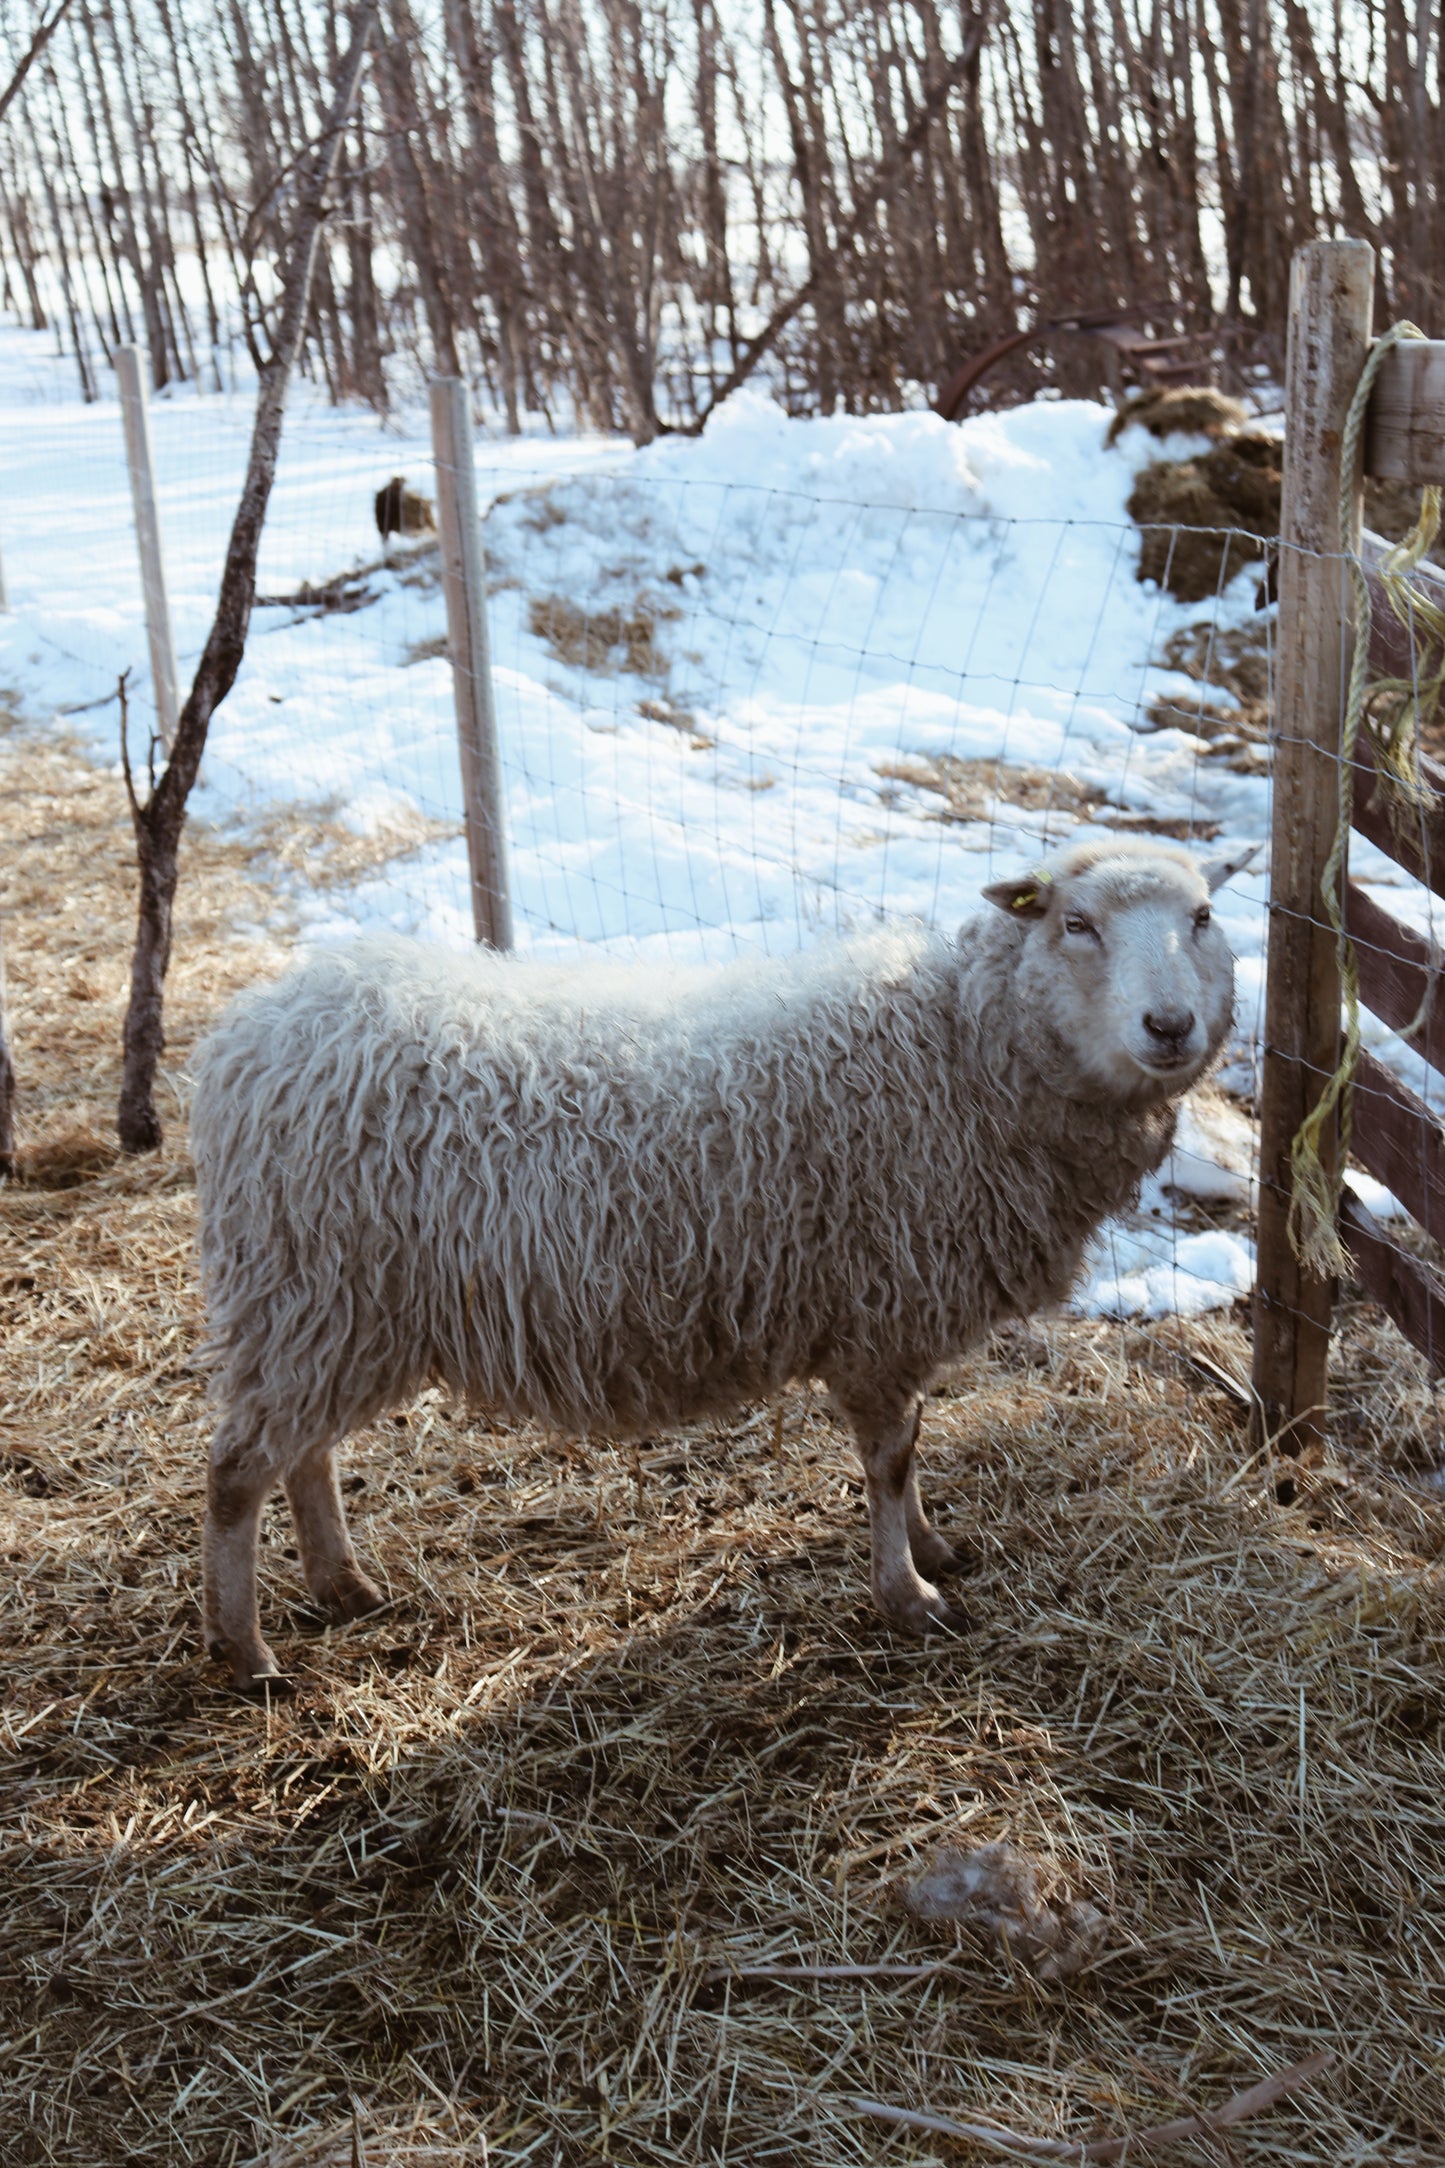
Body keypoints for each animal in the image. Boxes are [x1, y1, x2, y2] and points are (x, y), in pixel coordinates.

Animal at [194, 836, 1247, 1682]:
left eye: (1201, 917)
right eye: (1075, 922)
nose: (1169, 1027)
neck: (958, 1050)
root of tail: (254, 1031)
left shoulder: (899, 1318)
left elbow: (910, 1451)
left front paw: (932, 1548)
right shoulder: (878, 1317)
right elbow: (887, 1461)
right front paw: (907, 1595)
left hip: (324, 1316)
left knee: (305, 1455)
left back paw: (342, 1585)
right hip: (312, 1294)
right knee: (240, 1471)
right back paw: (245, 1651)